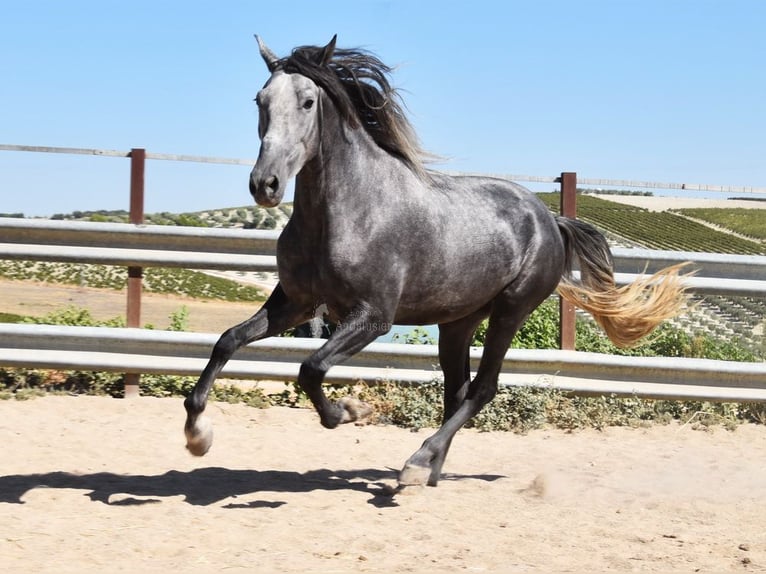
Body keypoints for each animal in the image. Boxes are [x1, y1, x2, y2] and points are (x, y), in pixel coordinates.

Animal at [184, 33, 688, 488]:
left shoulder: (373, 318)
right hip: (458, 322)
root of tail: (550, 219)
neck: (346, 212)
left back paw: (416, 461)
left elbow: (311, 368)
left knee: (482, 389)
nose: (264, 185)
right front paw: (196, 435)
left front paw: (349, 412)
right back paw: (426, 471)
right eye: (260, 100)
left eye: (308, 102)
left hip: (510, 311)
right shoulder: (296, 303)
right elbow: (227, 342)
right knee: (456, 389)